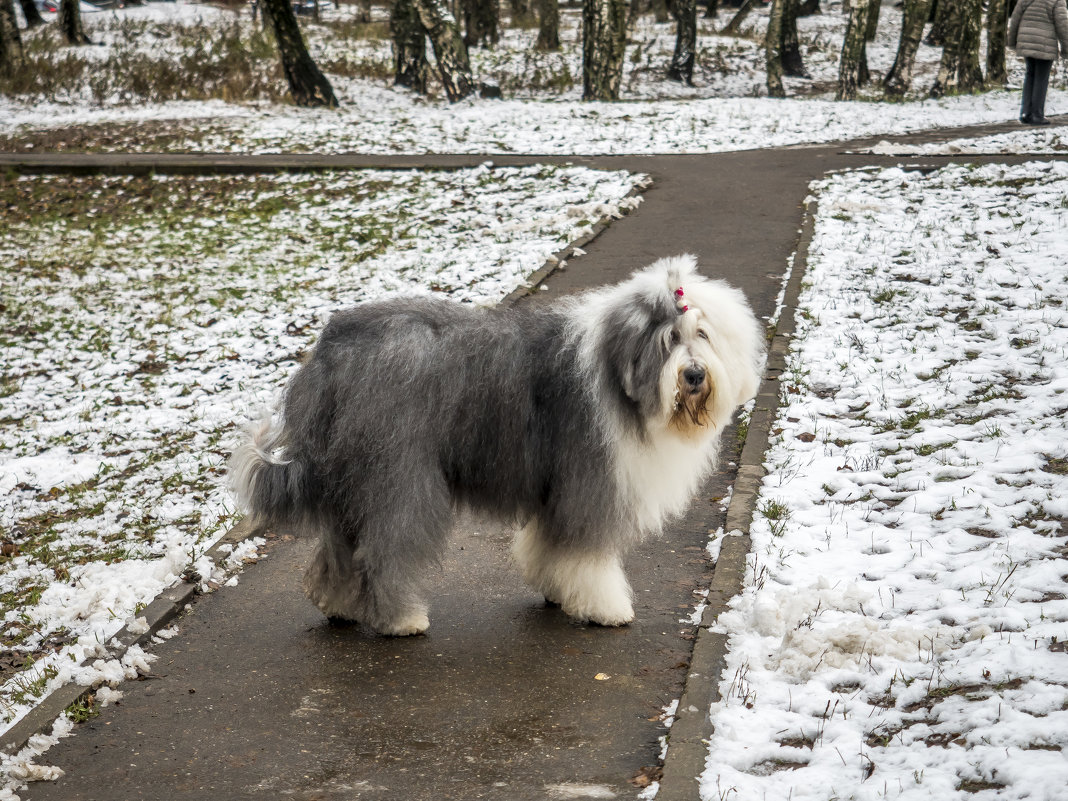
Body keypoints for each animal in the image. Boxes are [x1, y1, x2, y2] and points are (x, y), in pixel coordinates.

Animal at [231, 254, 768, 636]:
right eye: (668, 339)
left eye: (702, 334)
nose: (693, 375)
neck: (619, 376)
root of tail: (331, 350)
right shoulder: (590, 480)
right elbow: (589, 553)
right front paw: (606, 608)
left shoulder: (557, 487)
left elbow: (550, 545)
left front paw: (556, 590)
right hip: (399, 472)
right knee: (387, 545)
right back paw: (402, 620)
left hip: (352, 472)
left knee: (341, 543)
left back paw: (338, 605)